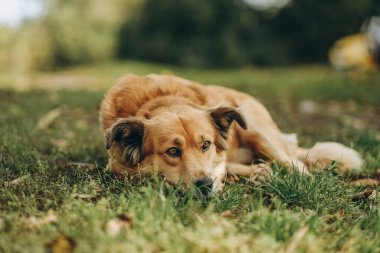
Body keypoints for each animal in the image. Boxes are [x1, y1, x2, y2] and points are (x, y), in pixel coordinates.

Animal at [99, 73, 364, 196]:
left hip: (256, 128)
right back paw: (260, 173)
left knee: (293, 162)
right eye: (172, 151)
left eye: (205, 144)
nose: (205, 186)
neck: (161, 100)